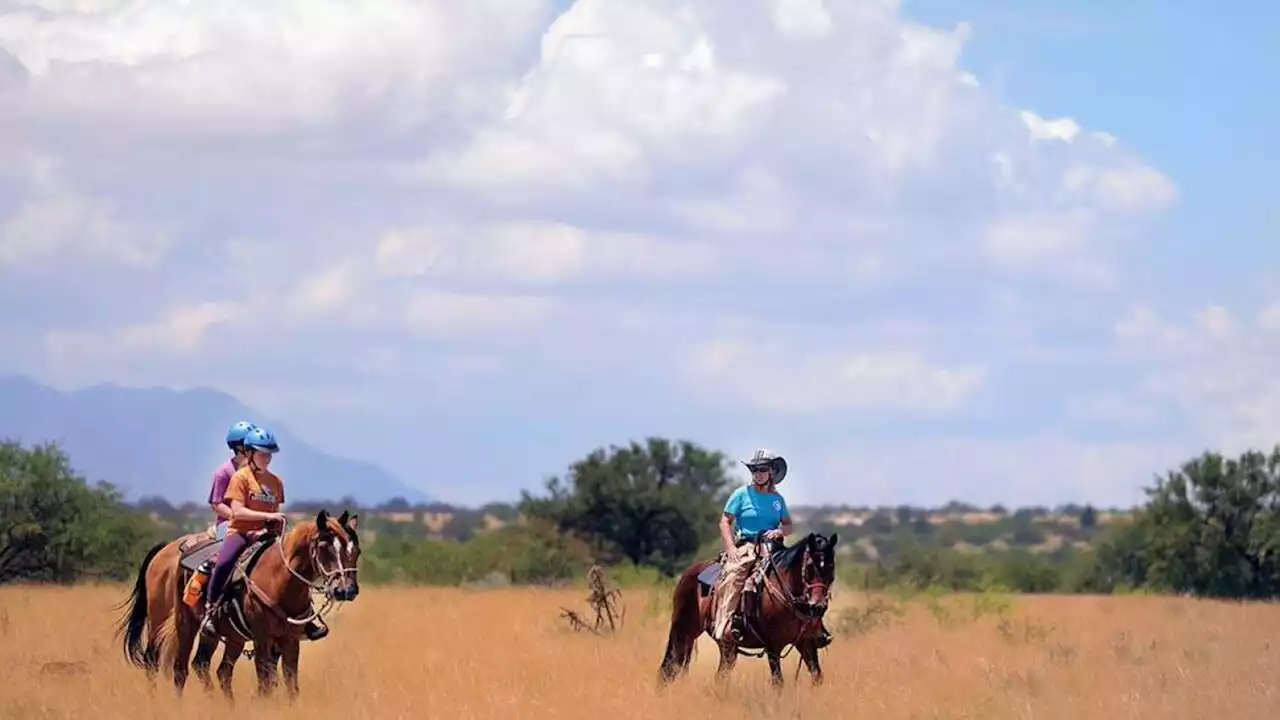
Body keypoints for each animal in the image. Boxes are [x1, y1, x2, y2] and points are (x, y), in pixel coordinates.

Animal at [115, 507, 360, 696]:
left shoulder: (290, 641)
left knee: (209, 667)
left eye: (356, 551)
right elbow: (266, 683)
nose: (346, 590)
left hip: (227, 636)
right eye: (325, 548)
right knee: (170, 666)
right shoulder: (263, 639)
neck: (279, 579)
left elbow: (290, 685)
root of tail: (167, 550)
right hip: (175, 622)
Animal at [655, 530, 834, 686]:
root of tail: (688, 573)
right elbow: (778, 682)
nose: (818, 606)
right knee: (668, 668)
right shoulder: (773, 646)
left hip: (727, 646)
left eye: (831, 567)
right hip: (683, 630)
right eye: (809, 567)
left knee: (719, 676)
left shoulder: (806, 642)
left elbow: (817, 676)